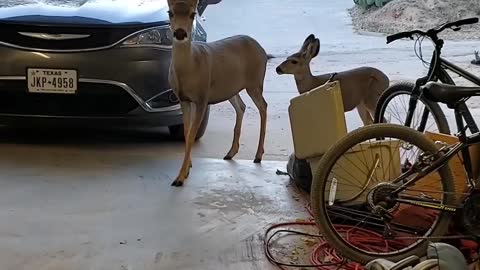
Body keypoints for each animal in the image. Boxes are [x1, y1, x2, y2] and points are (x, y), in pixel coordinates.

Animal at [167, 0, 268, 186]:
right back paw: (230, 152)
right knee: (241, 106)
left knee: (263, 106)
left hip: (255, 82)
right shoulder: (183, 99)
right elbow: (186, 132)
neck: (189, 67)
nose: (180, 33)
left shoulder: (202, 97)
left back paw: (258, 156)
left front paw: (180, 177)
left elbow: (191, 134)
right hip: (230, 88)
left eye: (193, 14)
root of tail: (262, 49)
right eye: (170, 12)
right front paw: (188, 168)